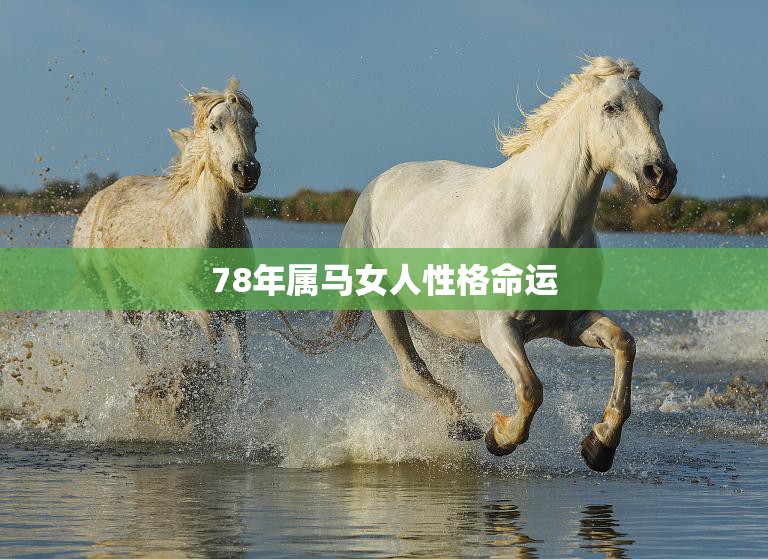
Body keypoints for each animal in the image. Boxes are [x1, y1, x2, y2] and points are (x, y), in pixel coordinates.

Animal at [72, 78, 260, 376]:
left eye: (253, 125)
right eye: (214, 126)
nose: (246, 171)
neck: (216, 230)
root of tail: (102, 196)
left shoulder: (235, 302)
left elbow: (241, 359)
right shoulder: (178, 293)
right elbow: (211, 332)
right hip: (117, 293)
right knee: (132, 343)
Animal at [282, 56, 677, 472]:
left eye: (658, 107)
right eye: (611, 107)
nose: (660, 175)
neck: (542, 222)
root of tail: (373, 188)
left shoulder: (571, 323)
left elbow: (624, 344)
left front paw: (599, 446)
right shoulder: (499, 328)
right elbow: (531, 389)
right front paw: (499, 437)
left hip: (438, 325)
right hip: (384, 305)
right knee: (413, 371)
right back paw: (462, 425)